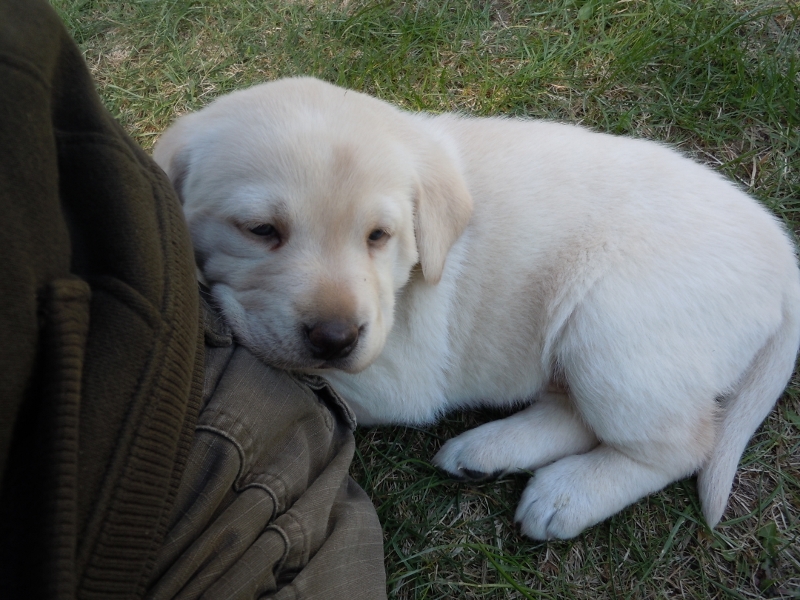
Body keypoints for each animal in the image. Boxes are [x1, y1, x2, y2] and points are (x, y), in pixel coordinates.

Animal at [152, 77, 800, 540]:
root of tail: (782, 252)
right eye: (261, 230)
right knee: (577, 412)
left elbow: (288, 366)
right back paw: (487, 454)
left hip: (613, 327)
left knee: (684, 445)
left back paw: (567, 495)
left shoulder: (398, 372)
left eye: (379, 235)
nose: (337, 337)